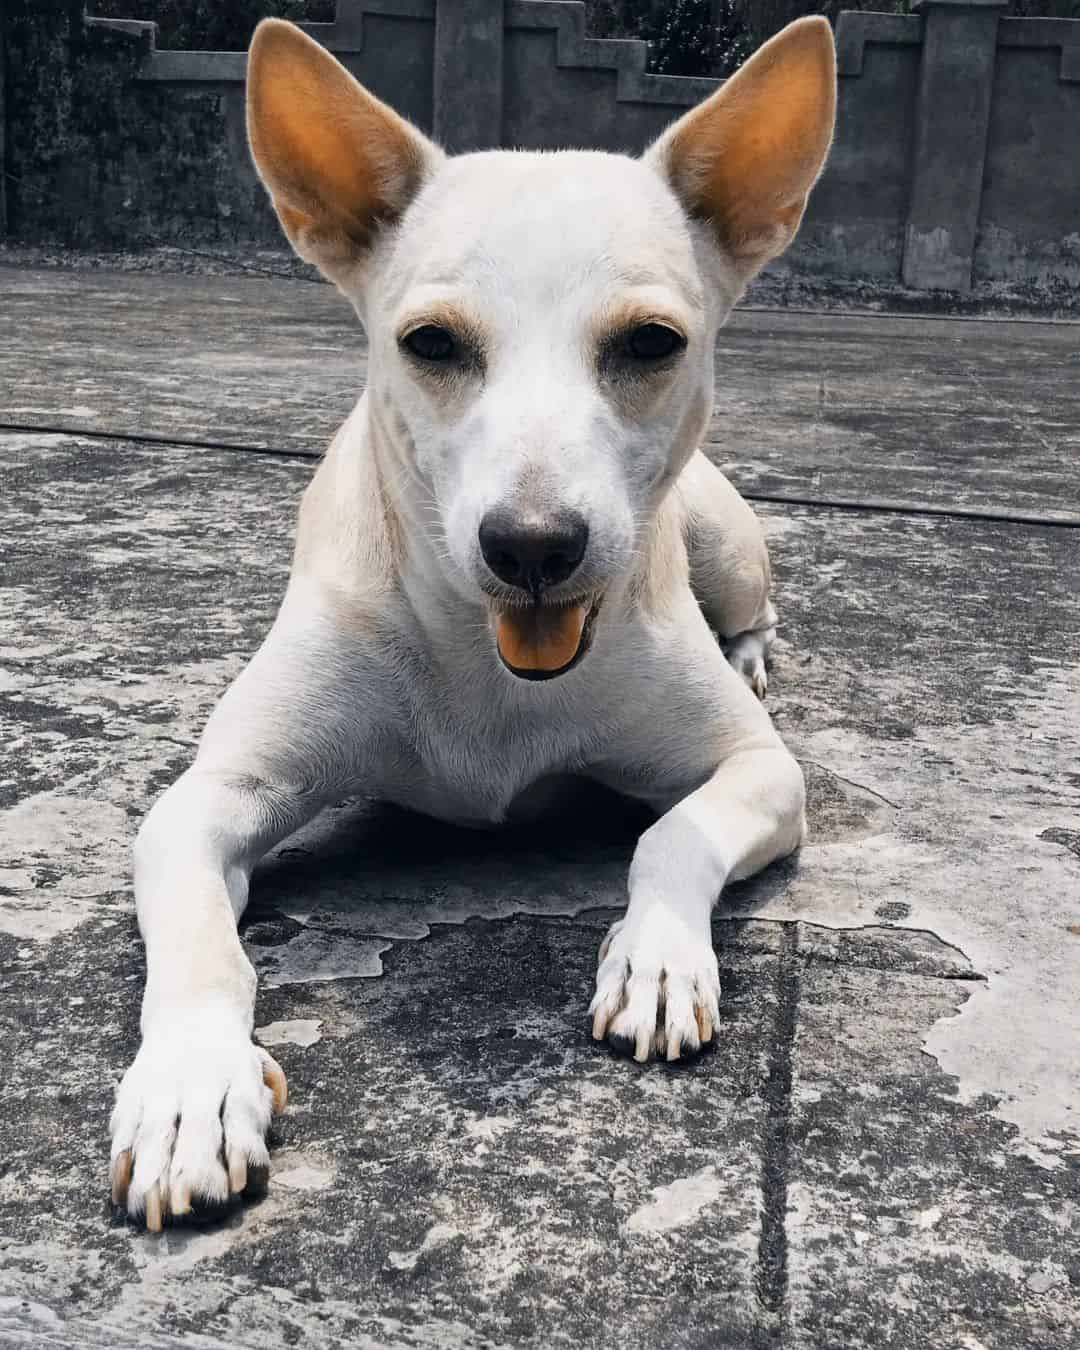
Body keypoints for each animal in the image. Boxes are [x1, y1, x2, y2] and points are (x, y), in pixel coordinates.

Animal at [109, 15, 837, 1231]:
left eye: (651, 342)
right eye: (432, 344)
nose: (533, 546)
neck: (488, 657)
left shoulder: (760, 771)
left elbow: (674, 831)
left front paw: (657, 958)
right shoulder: (207, 801)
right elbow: (202, 941)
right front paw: (187, 1088)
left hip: (728, 545)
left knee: (752, 603)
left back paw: (748, 650)